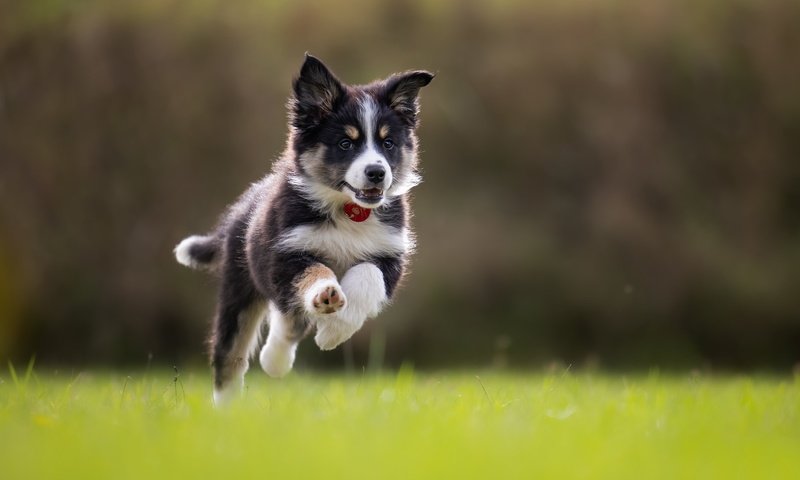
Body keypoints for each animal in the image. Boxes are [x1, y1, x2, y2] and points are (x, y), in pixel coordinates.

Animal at [173, 54, 434, 404]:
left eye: (388, 143)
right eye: (345, 143)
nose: (377, 173)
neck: (349, 210)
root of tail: (241, 208)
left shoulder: (390, 255)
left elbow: (367, 276)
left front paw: (334, 331)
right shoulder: (286, 252)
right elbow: (314, 271)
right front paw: (326, 294)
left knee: (288, 320)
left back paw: (274, 361)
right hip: (239, 287)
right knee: (232, 355)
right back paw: (228, 408)